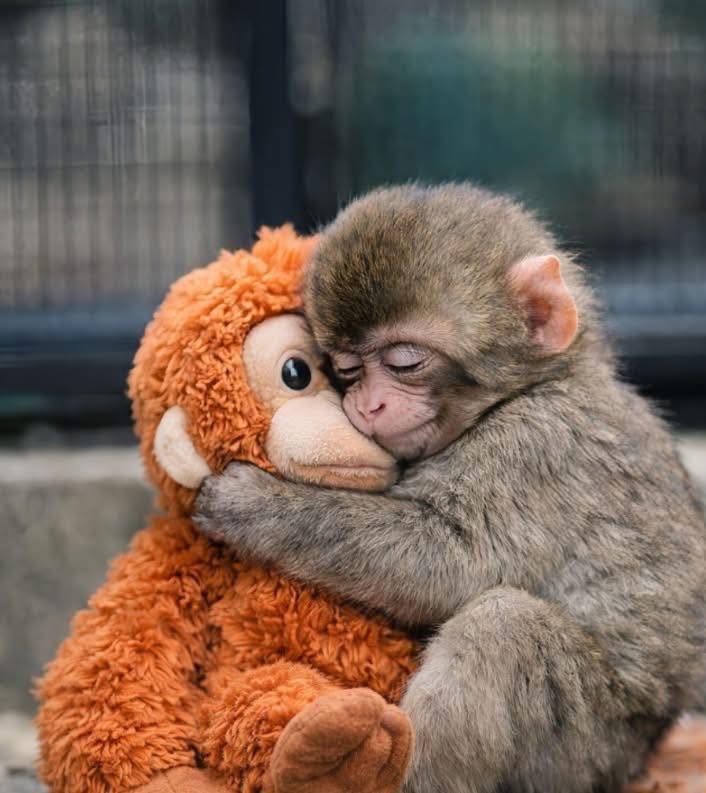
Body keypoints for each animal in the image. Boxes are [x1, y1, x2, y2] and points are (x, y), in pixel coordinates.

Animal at [195, 184, 706, 793]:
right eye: (346, 369)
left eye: (405, 361)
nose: (368, 405)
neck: (533, 388)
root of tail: (640, 753)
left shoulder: (535, 448)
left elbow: (452, 559)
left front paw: (250, 503)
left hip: (588, 747)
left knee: (503, 626)